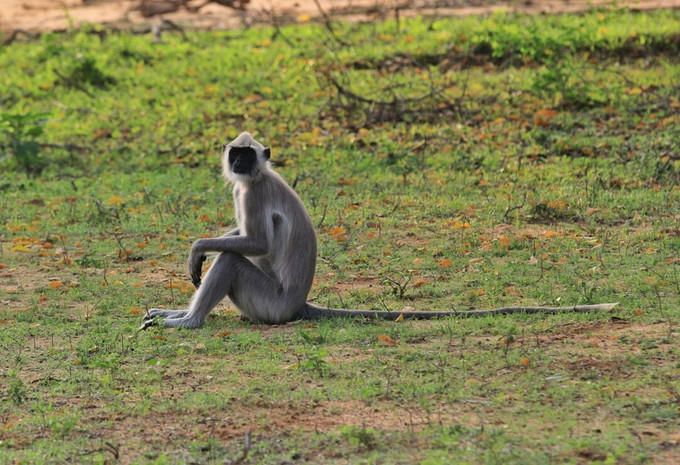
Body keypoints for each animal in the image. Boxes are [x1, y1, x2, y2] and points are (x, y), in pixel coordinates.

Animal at [141, 132, 620, 328]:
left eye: (247, 155)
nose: (239, 162)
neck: (258, 175)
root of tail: (297, 304)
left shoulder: (252, 191)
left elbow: (252, 242)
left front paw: (198, 247)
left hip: (268, 305)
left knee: (232, 261)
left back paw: (188, 322)